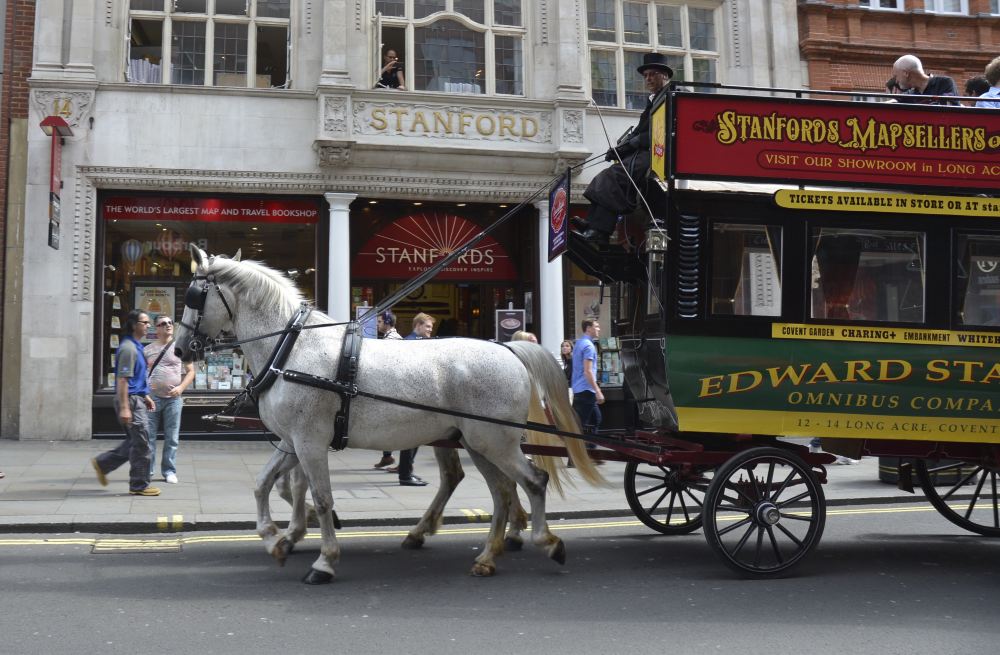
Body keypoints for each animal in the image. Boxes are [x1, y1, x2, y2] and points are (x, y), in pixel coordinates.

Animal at [174, 247, 600, 584]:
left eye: (194, 296)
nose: (178, 349)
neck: (292, 348)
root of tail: (509, 349)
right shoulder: (293, 441)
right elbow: (266, 484)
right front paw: (275, 537)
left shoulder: (310, 441)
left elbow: (321, 497)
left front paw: (324, 561)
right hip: (477, 441)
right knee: (501, 491)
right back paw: (486, 553)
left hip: (493, 440)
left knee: (531, 481)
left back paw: (544, 541)